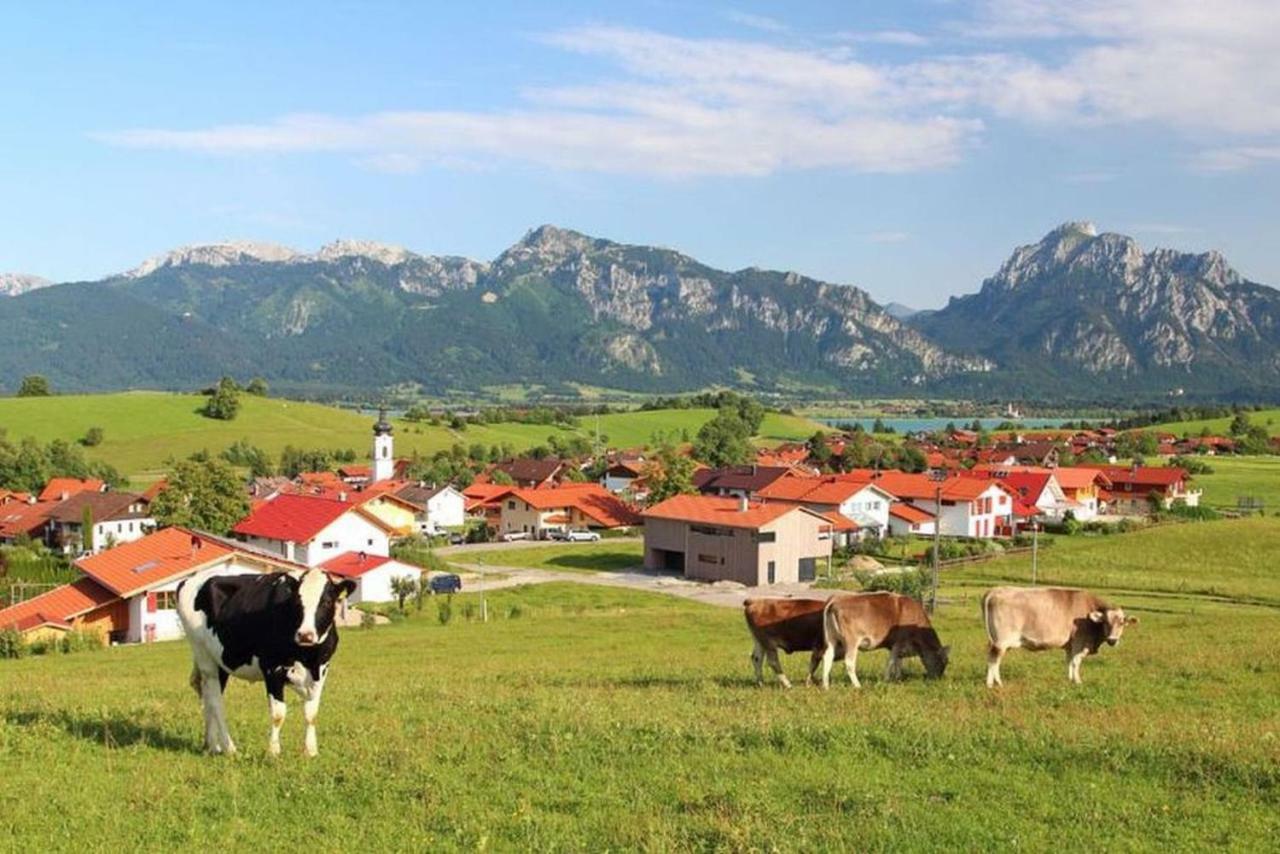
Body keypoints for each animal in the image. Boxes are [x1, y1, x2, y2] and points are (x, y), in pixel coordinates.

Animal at [175, 568, 355, 752]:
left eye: (327, 602)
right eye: (297, 602)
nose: (305, 635)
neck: (308, 656)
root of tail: (191, 579)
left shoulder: (321, 669)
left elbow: (311, 713)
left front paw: (311, 750)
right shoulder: (272, 669)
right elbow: (278, 713)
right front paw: (274, 751)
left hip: (220, 661)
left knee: (207, 696)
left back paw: (211, 746)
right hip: (203, 655)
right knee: (215, 701)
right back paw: (229, 748)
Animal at [819, 594, 952, 686]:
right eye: (942, 661)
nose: (937, 679)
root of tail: (836, 599)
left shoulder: (896, 646)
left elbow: (898, 662)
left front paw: (898, 679)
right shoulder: (898, 643)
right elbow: (891, 661)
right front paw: (886, 679)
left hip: (831, 640)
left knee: (828, 657)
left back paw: (826, 685)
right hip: (852, 641)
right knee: (849, 662)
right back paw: (857, 685)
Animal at [977, 588, 1141, 686]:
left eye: (1122, 622)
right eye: (1106, 622)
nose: (1112, 640)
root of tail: (995, 590)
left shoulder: (1070, 645)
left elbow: (1068, 661)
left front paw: (1069, 680)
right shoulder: (1079, 643)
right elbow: (1076, 662)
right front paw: (1078, 681)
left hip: (999, 642)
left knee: (994, 660)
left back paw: (996, 682)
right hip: (1001, 641)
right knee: (993, 659)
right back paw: (993, 684)